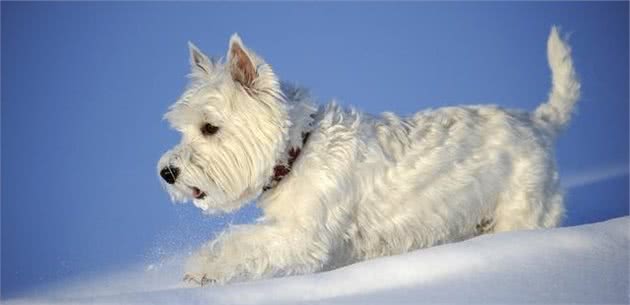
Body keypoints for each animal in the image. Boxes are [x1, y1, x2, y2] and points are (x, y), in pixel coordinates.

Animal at [159, 26, 584, 284]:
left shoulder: (303, 235)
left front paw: (201, 268)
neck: (298, 151)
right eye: (183, 129)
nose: (167, 172)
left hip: (522, 210)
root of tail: (538, 122)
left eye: (209, 128)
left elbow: (242, 241)